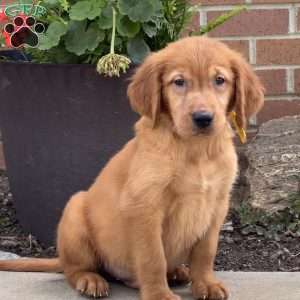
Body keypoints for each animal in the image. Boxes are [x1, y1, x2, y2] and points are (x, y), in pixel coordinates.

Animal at [0, 35, 262, 300]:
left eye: (220, 80)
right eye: (179, 82)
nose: (203, 118)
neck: (196, 150)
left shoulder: (217, 204)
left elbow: (205, 252)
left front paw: (206, 284)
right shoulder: (144, 206)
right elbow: (152, 257)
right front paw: (159, 295)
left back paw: (177, 272)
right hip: (75, 212)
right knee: (73, 269)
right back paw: (90, 280)